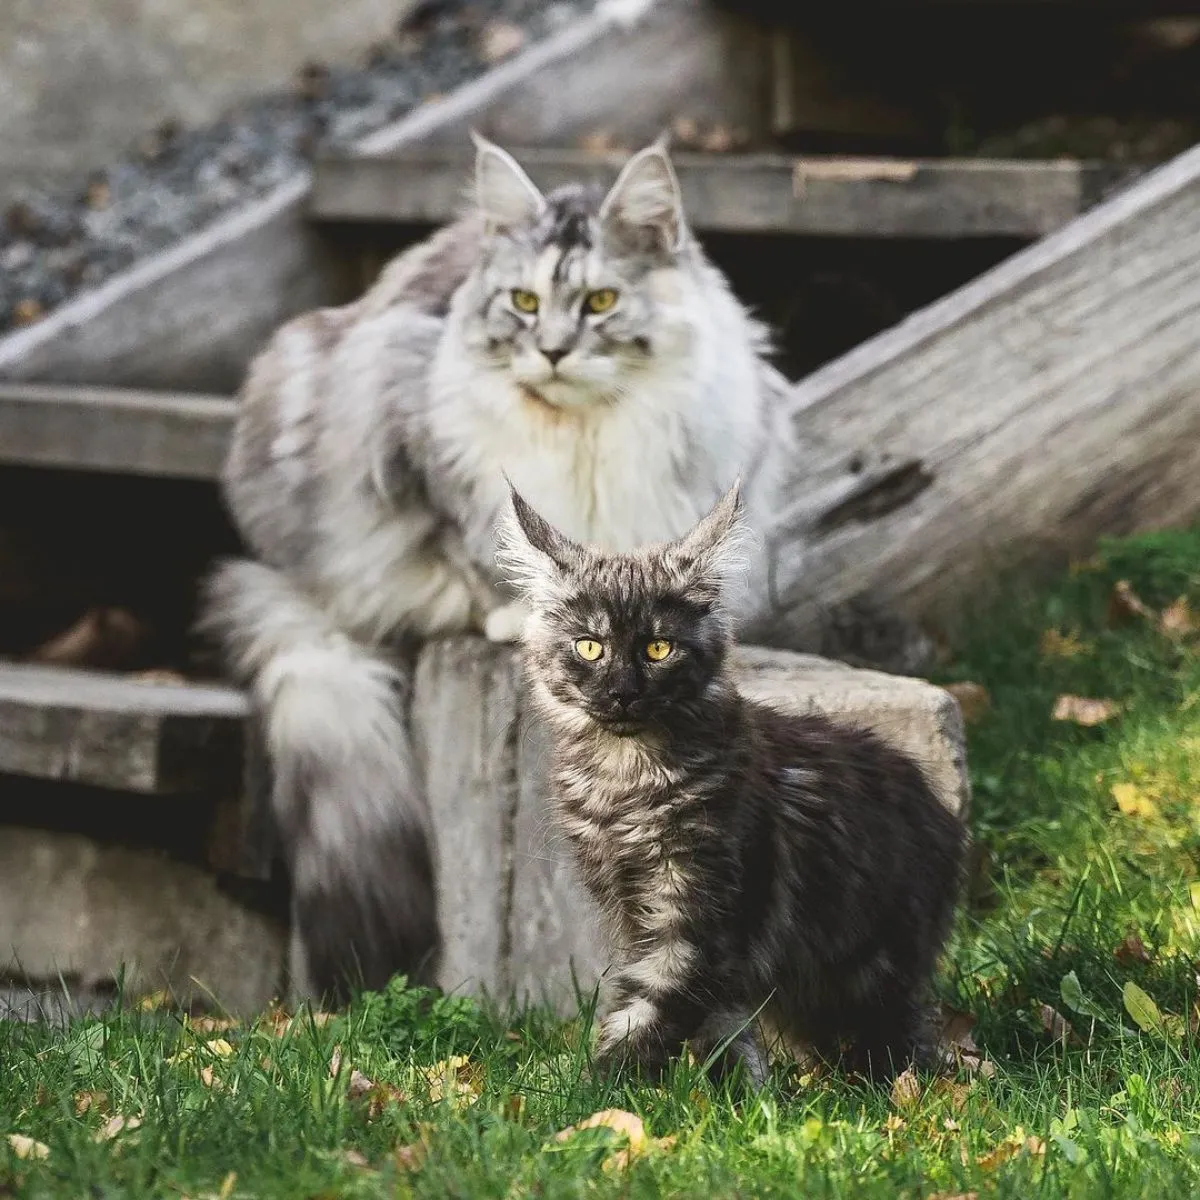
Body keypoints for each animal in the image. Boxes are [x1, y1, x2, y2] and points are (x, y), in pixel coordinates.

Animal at [201, 131, 792, 1003]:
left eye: (601, 303)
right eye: (522, 303)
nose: (550, 351)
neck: (582, 431)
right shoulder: (420, 443)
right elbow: (490, 553)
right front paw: (521, 612)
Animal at [494, 482, 964, 1084]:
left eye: (658, 648)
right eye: (589, 646)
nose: (623, 692)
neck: (626, 780)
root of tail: (943, 814)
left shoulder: (699, 906)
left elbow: (653, 1006)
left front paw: (597, 1088)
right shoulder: (633, 908)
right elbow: (717, 1019)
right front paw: (730, 1089)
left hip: (871, 961)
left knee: (899, 1035)